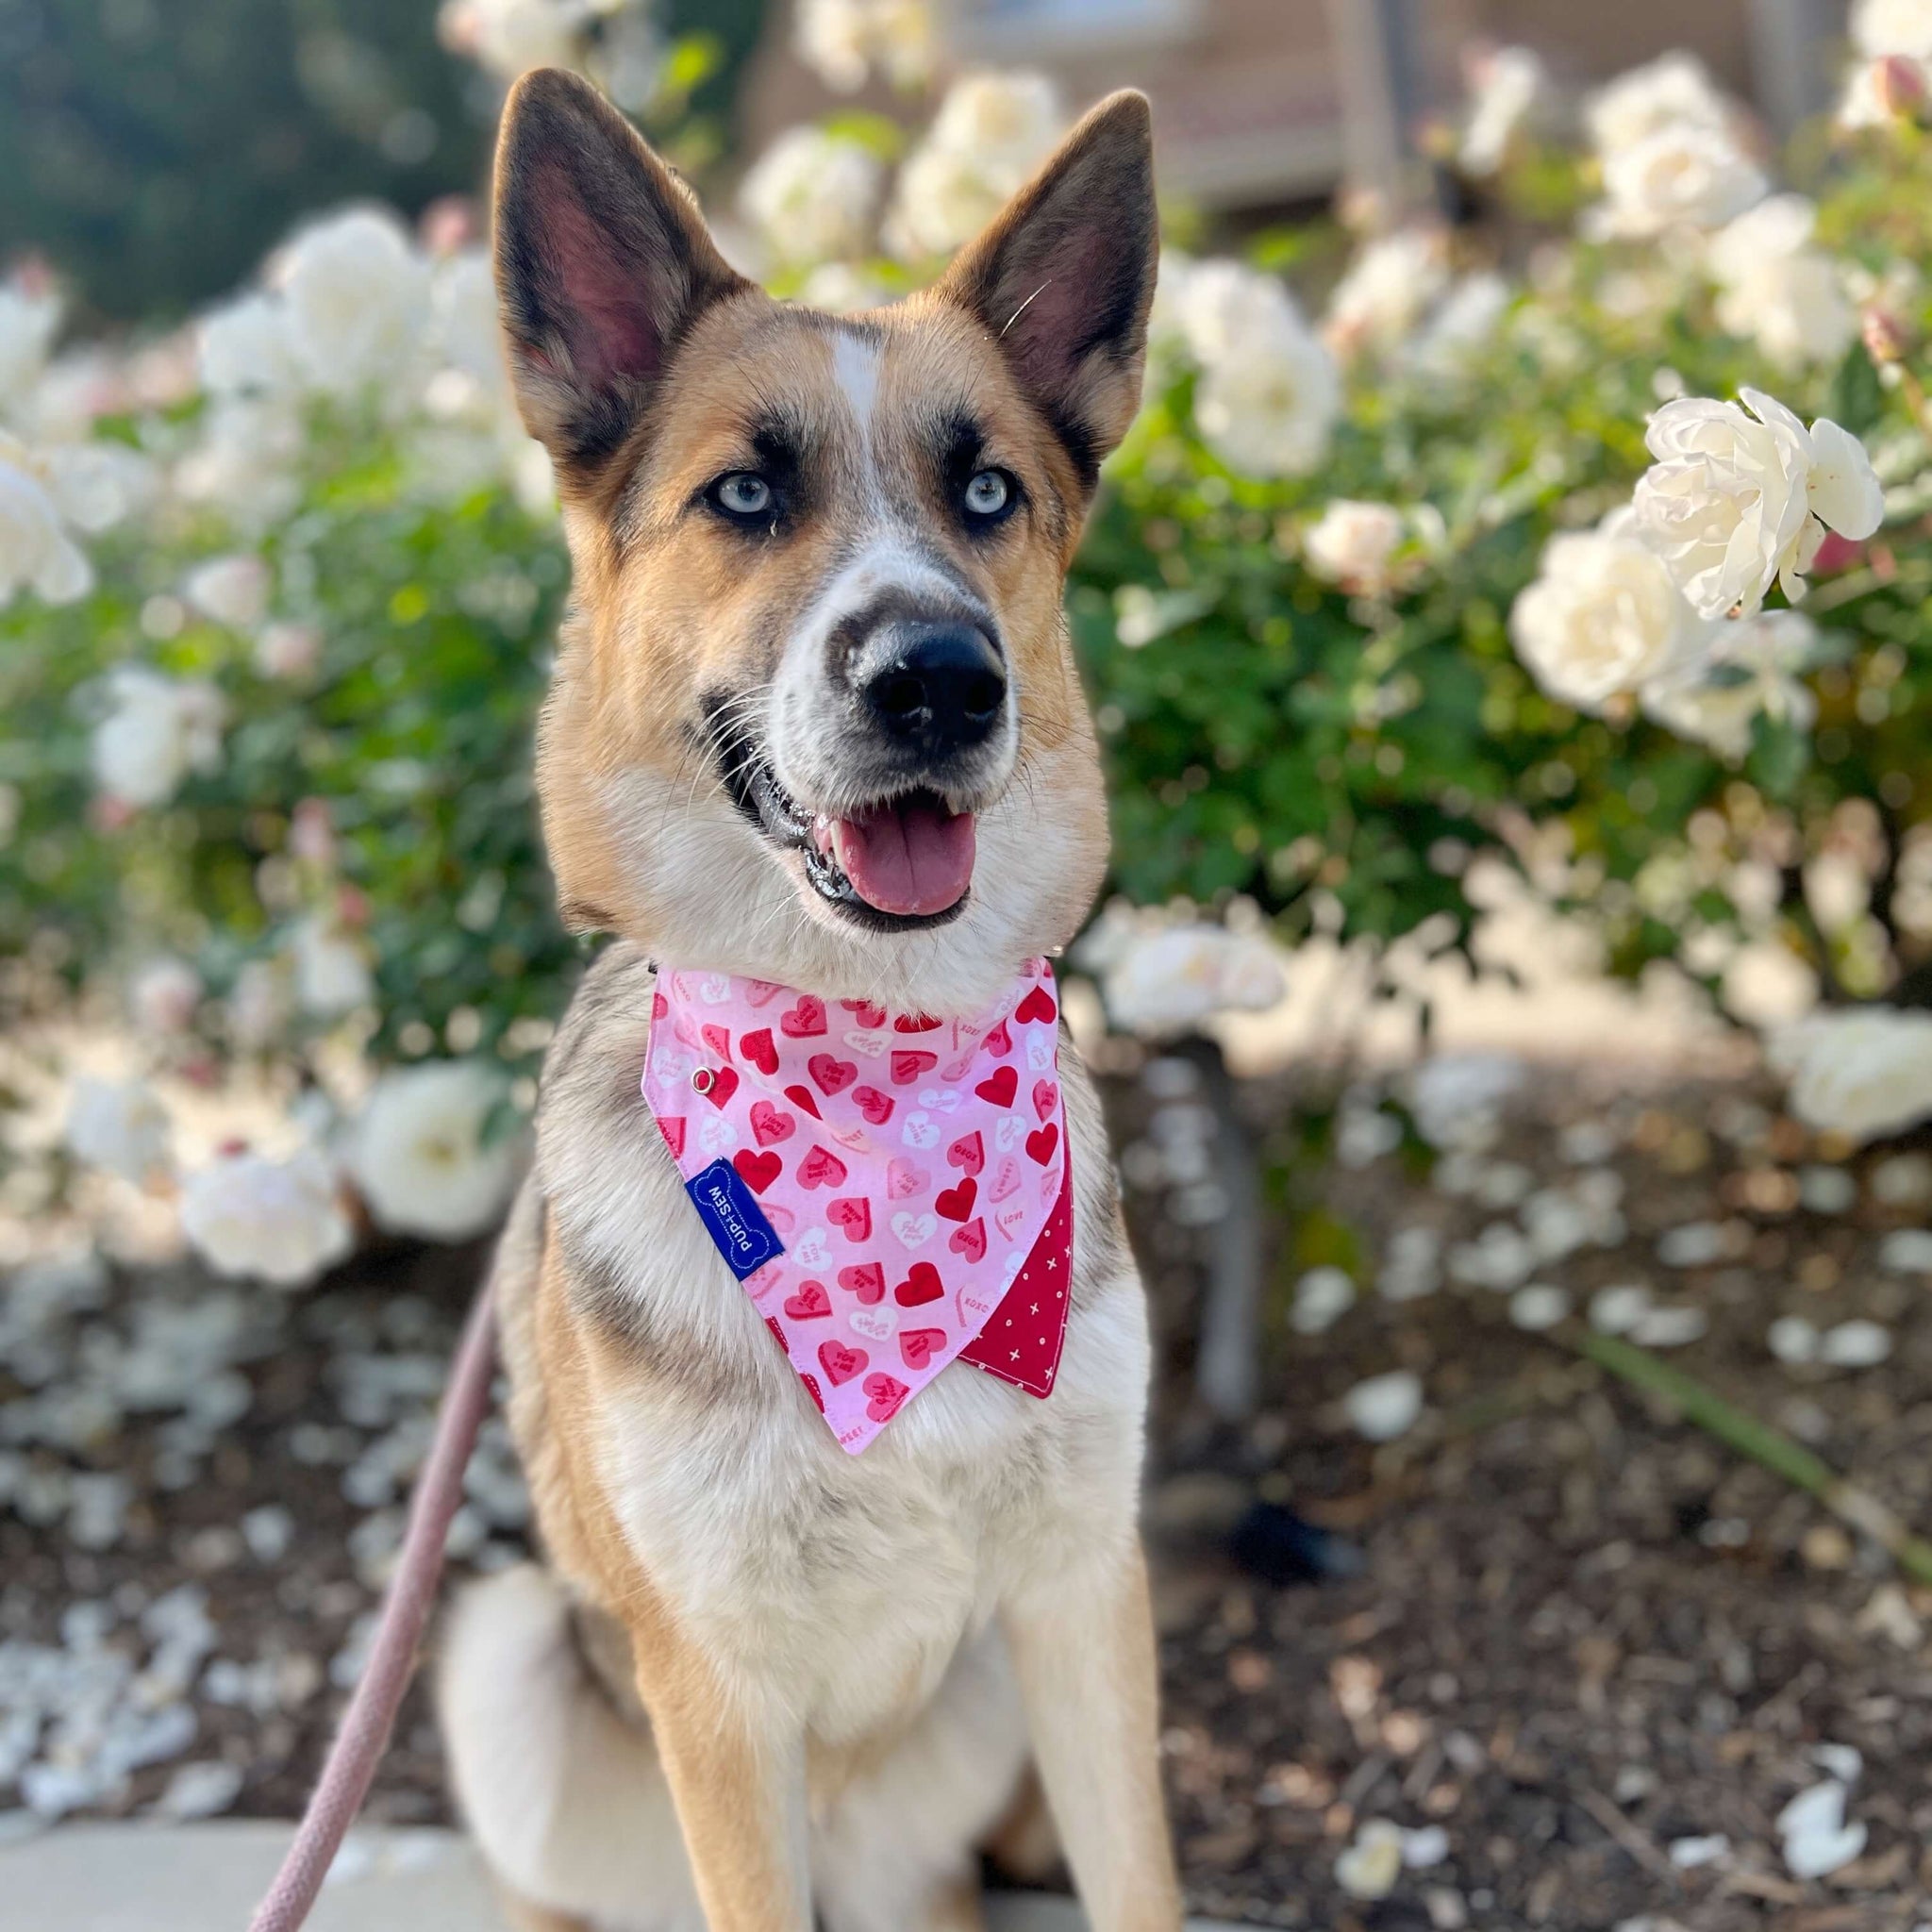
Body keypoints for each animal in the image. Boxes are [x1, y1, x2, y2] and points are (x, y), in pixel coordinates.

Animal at [440, 64, 1182, 1932]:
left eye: (985, 494)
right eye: (744, 498)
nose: (937, 679)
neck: (872, 1053)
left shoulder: (1084, 1596)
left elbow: (1140, 1880)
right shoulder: (717, 1700)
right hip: (506, 1659)